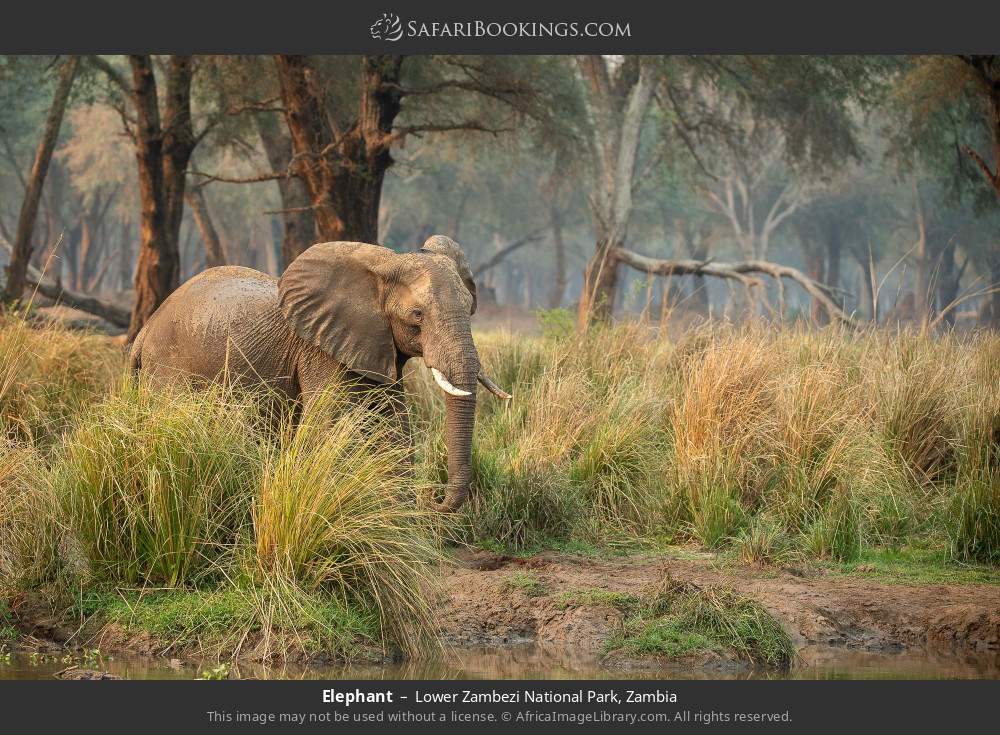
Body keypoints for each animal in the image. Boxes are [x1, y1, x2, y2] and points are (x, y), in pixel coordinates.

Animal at [128, 235, 510, 512]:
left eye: (470, 308)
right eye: (417, 315)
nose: (434, 500)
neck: (383, 268)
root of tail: (145, 331)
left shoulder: (375, 344)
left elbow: (393, 426)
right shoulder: (319, 350)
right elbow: (328, 422)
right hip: (169, 369)